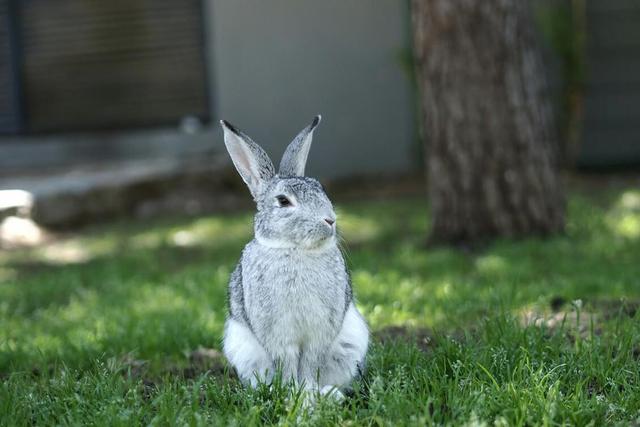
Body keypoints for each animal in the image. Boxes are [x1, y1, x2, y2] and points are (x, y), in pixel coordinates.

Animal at [221, 114, 368, 398]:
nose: (330, 220)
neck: (296, 249)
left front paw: (308, 393)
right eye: (283, 201)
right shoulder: (278, 336)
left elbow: (310, 363)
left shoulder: (318, 334)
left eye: (322, 190)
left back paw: (330, 394)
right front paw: (293, 395)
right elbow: (287, 363)